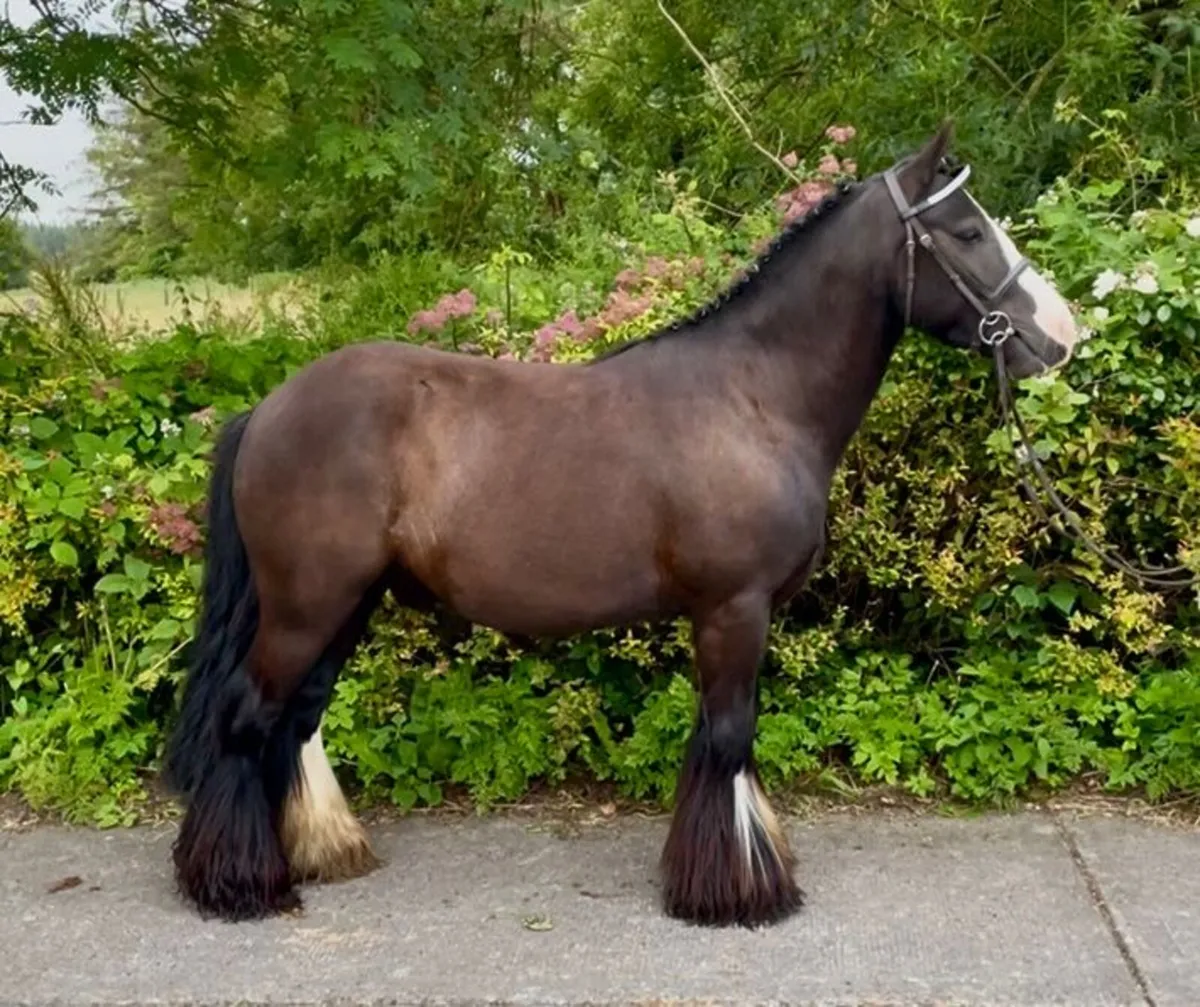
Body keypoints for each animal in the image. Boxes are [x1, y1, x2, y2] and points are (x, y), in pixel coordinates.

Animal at [163, 122, 1078, 928]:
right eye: (968, 230)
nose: (1062, 334)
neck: (754, 396)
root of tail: (268, 409)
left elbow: (722, 738)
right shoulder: (734, 608)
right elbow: (729, 735)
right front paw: (740, 892)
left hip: (348, 602)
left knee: (297, 716)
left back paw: (320, 851)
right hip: (307, 603)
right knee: (248, 715)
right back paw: (241, 884)